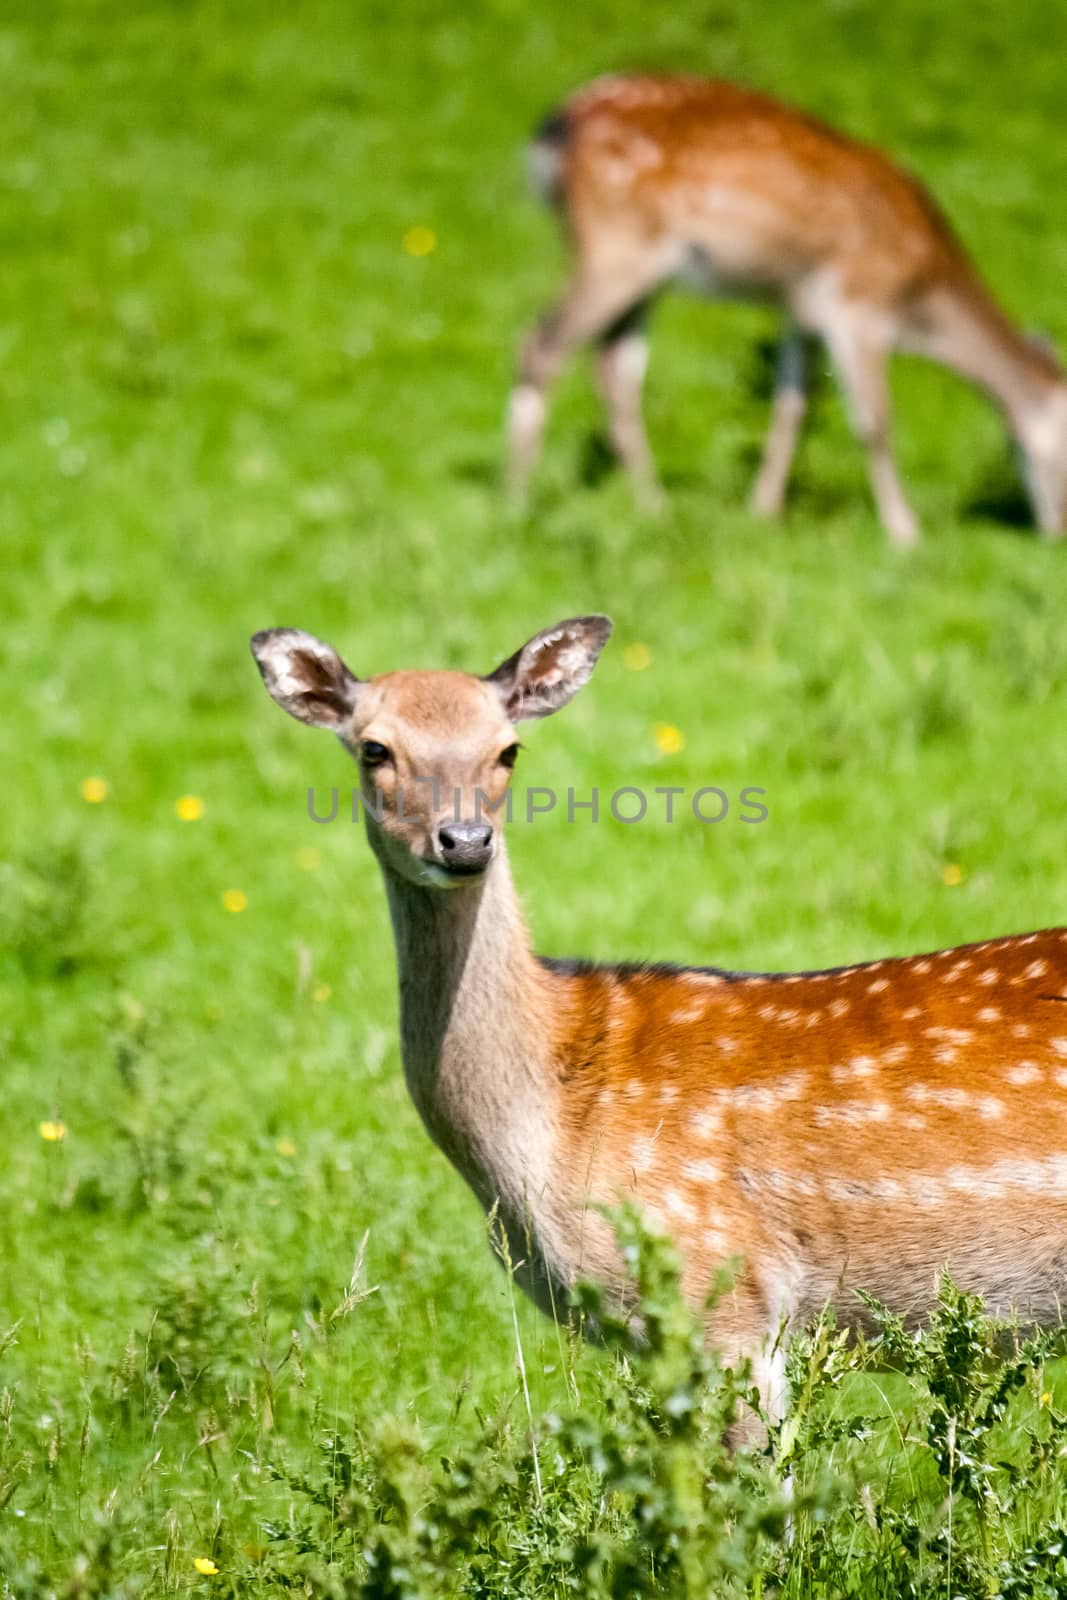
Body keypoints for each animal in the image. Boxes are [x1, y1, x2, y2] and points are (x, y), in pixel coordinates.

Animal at [508, 75, 1067, 544]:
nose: (1055, 535)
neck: (920, 295)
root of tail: (552, 131)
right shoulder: (858, 304)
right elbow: (875, 420)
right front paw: (904, 533)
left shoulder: (801, 313)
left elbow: (790, 410)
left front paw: (763, 514)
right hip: (616, 247)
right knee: (539, 344)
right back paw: (517, 499)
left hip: (648, 274)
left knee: (613, 369)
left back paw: (652, 504)